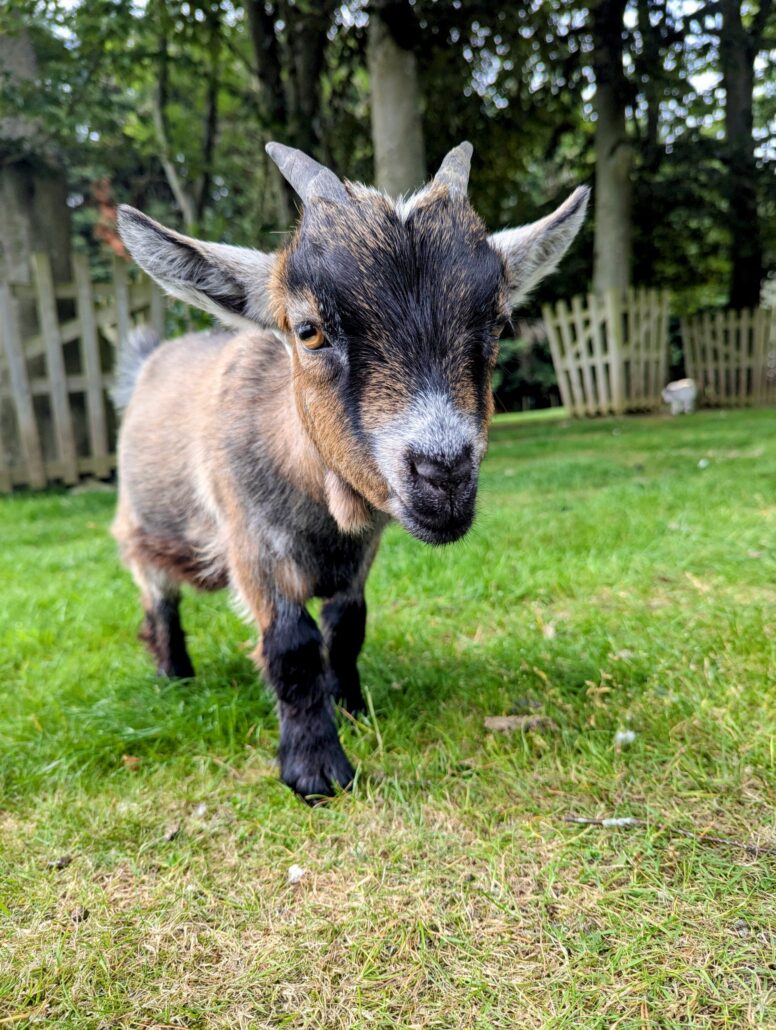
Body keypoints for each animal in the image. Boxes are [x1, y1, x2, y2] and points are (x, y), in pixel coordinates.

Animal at [113, 142, 588, 800]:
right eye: (308, 330)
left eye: (497, 323)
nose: (444, 474)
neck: (322, 509)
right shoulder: (252, 542)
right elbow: (291, 647)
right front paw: (315, 769)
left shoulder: (361, 552)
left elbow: (347, 625)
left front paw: (354, 707)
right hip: (140, 528)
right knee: (158, 598)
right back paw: (175, 675)